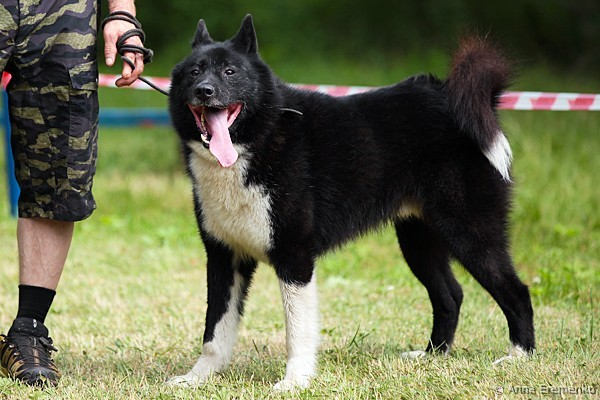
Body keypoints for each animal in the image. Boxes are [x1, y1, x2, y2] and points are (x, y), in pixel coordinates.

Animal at [167, 14, 535, 390]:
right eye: (194, 72)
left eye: (230, 71)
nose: (204, 91)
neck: (260, 137)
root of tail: (456, 97)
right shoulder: (224, 257)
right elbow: (215, 332)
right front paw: (197, 378)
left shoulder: (294, 258)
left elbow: (297, 330)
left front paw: (295, 381)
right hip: (418, 240)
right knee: (450, 295)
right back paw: (433, 354)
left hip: (469, 232)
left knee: (517, 292)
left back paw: (518, 356)